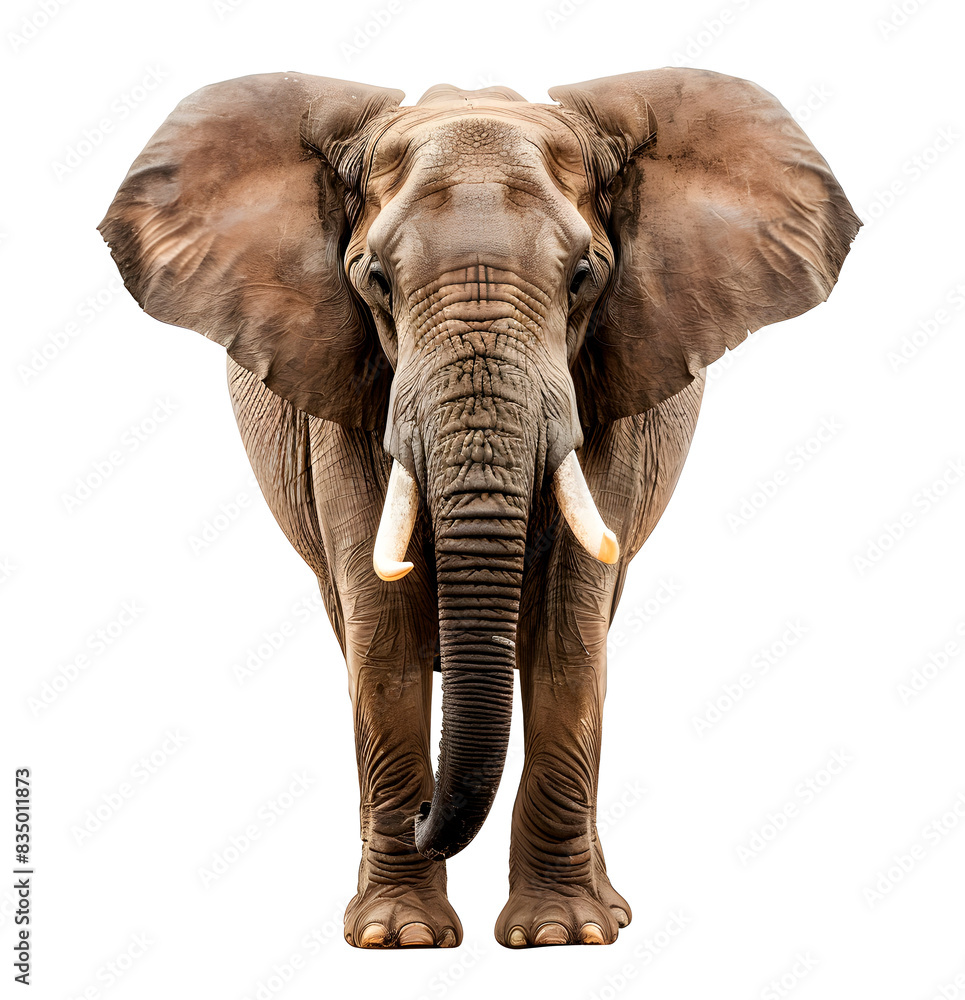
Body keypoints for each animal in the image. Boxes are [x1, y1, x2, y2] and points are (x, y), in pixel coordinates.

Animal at [99, 67, 859, 949]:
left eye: (583, 277)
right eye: (374, 280)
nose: (425, 811)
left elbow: (569, 642)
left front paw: (563, 935)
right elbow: (383, 642)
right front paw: (396, 938)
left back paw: (608, 909)